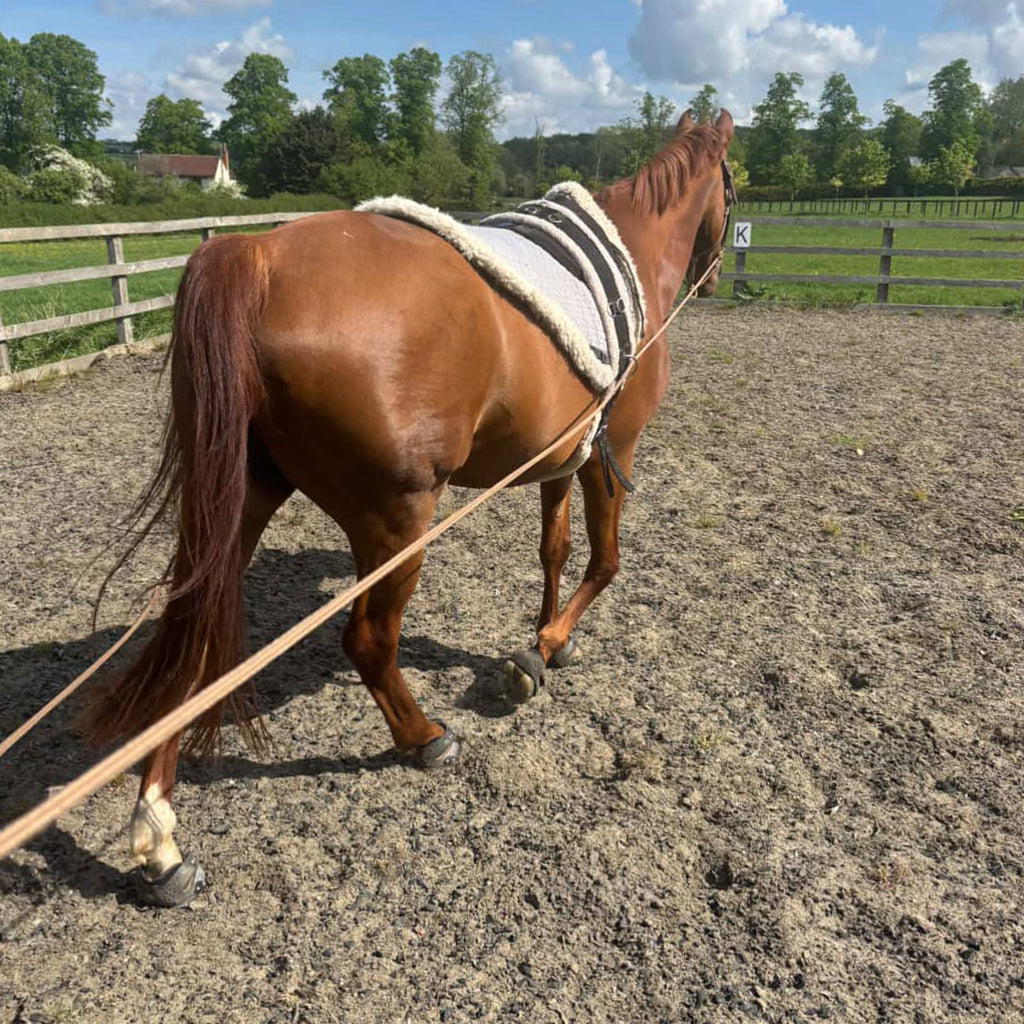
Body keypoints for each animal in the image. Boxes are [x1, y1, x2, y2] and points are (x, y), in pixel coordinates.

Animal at [82, 109, 734, 906]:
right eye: (731, 184)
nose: (718, 273)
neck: (631, 252)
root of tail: (256, 255)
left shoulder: (561, 457)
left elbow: (553, 550)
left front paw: (548, 639)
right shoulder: (613, 454)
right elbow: (607, 560)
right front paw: (542, 649)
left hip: (240, 506)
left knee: (192, 641)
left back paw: (159, 842)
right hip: (397, 521)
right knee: (367, 641)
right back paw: (424, 737)